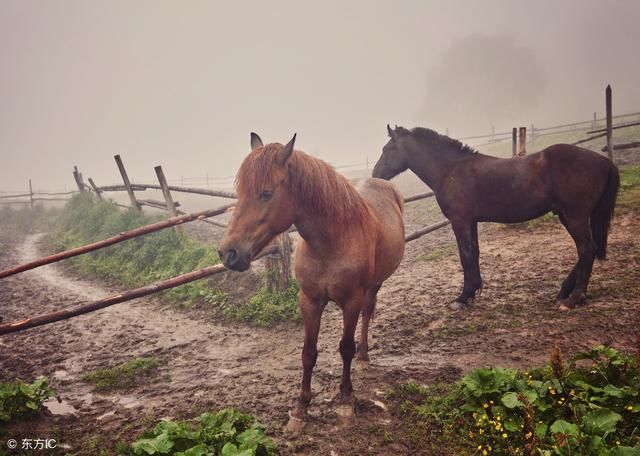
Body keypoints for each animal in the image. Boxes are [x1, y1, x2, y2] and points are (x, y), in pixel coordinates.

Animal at [218, 134, 402, 426]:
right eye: (240, 192)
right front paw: (301, 407)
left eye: (266, 193)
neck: (332, 241)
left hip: (373, 285)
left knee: (366, 313)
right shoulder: (310, 301)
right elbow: (308, 353)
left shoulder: (350, 301)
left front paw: (345, 400)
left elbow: (345, 348)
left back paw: (363, 356)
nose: (228, 253)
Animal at [372, 124, 616, 310]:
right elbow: (474, 253)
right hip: (567, 215)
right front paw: (472, 292)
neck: (451, 169)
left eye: (387, 148)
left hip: (575, 216)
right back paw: (565, 290)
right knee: (588, 250)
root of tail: (603, 160)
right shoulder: (471, 221)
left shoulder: (460, 221)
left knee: (587, 249)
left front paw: (462, 298)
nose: (375, 174)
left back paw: (574, 298)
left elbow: (465, 255)